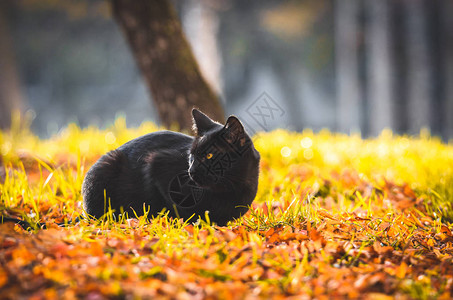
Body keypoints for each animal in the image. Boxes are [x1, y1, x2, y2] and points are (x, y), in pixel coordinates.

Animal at [81, 108, 258, 225]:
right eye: (191, 156)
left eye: (209, 156)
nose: (191, 171)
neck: (230, 187)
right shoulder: (157, 164)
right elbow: (179, 208)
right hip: (105, 165)